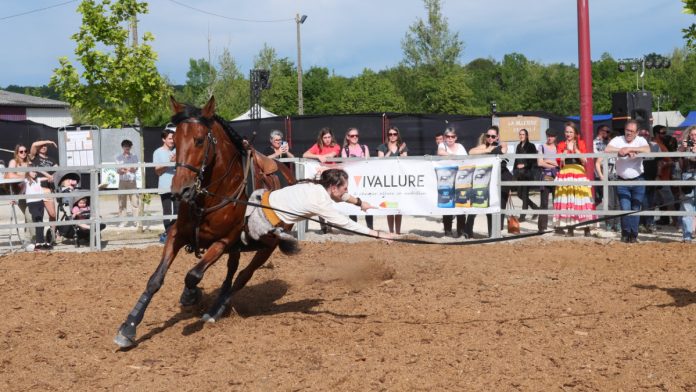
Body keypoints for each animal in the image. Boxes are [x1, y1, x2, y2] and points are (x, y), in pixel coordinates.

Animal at [113, 96, 296, 348]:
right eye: (174, 142)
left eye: (199, 140)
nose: (180, 189)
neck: (212, 194)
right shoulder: (177, 234)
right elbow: (155, 279)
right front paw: (129, 326)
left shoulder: (223, 241)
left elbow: (193, 275)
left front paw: (191, 295)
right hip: (237, 249)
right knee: (231, 272)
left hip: (266, 247)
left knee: (242, 276)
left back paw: (215, 309)